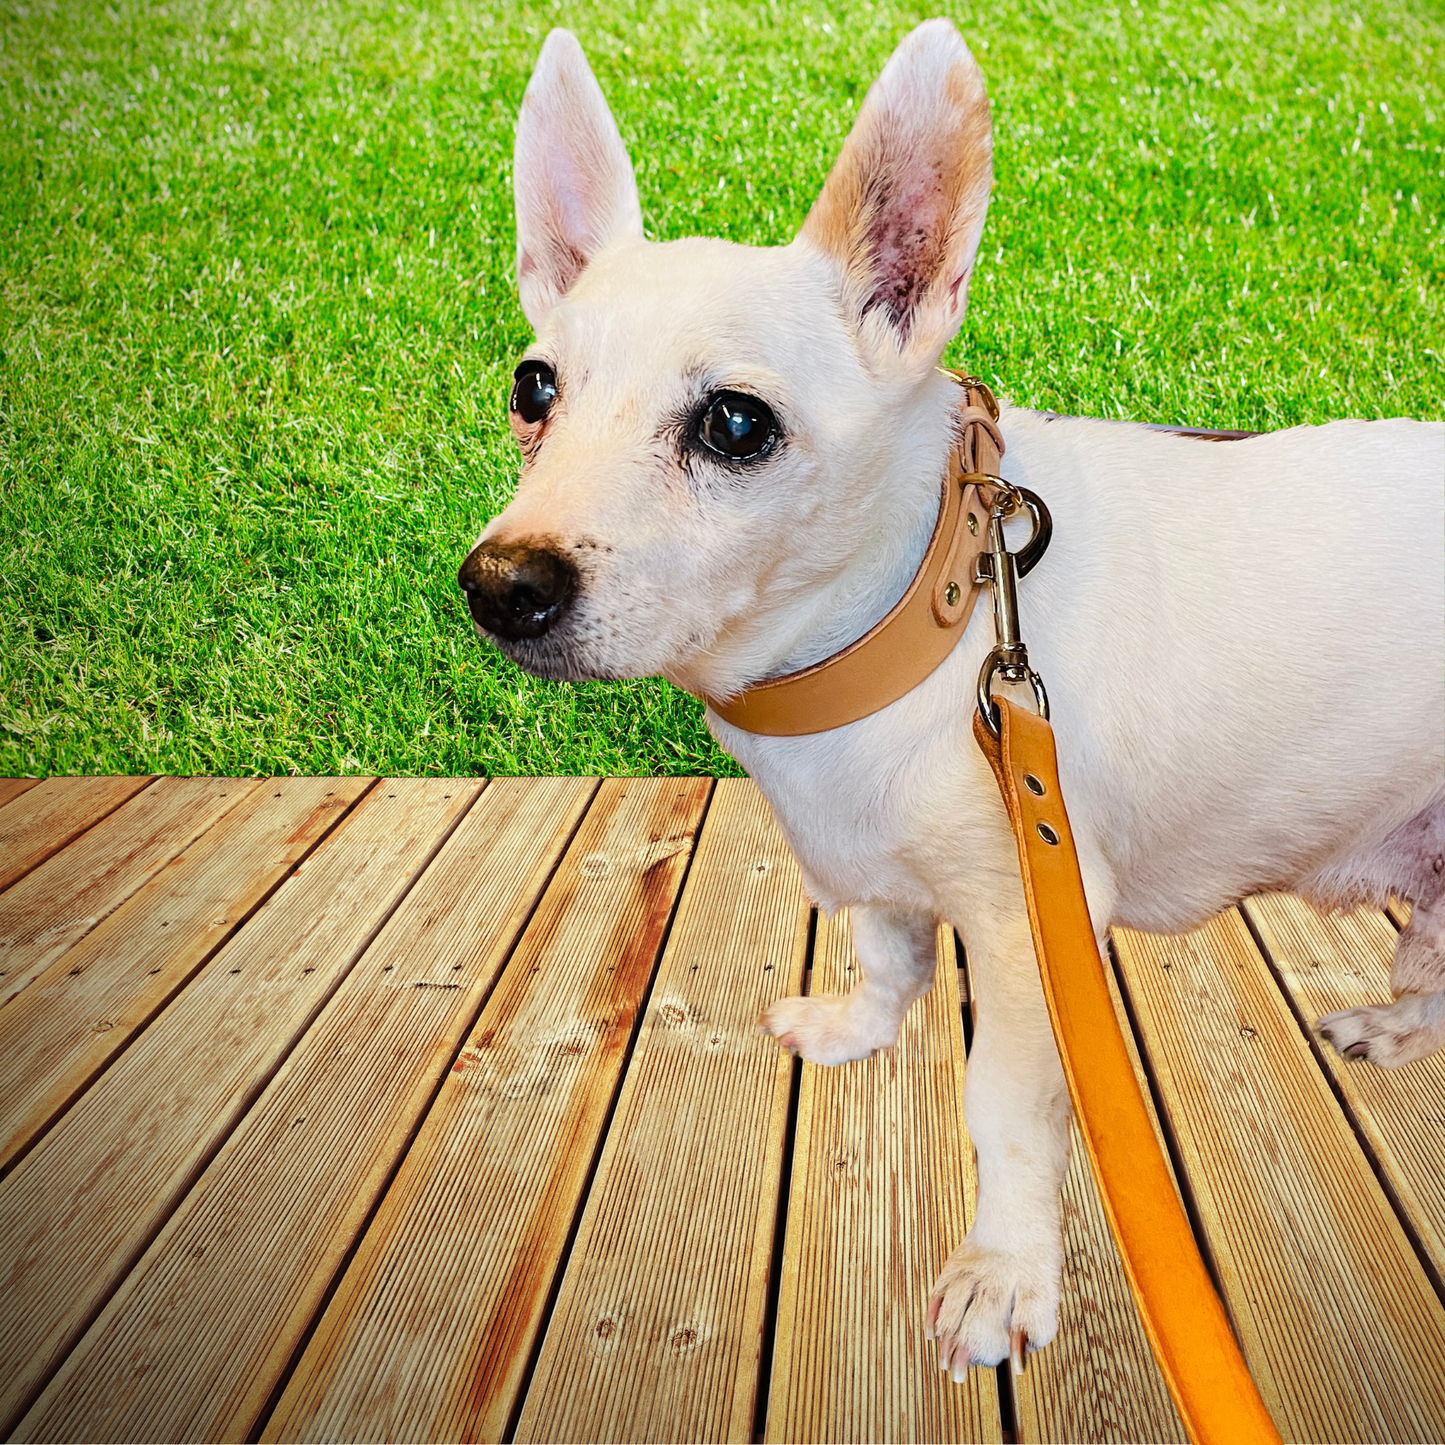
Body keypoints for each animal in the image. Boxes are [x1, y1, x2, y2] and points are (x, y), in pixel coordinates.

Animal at [456, 25, 1439, 1375]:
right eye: (533, 388)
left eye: (735, 423)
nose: (499, 584)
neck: (913, 629)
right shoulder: (869, 861)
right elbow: (881, 944)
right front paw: (860, 1026)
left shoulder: (1029, 932)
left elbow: (1005, 1107)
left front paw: (1002, 1274)